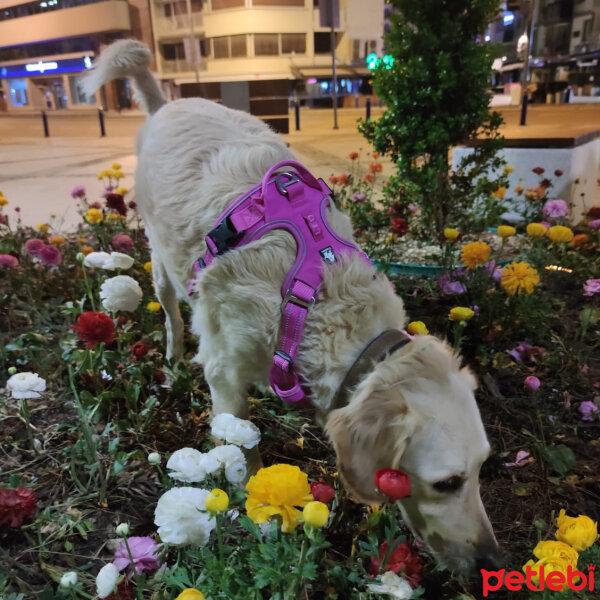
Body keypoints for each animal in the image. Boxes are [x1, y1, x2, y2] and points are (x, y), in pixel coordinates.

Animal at [83, 39, 496, 576]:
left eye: (485, 466)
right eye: (447, 483)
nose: (492, 559)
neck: (315, 296)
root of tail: (167, 104)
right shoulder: (223, 373)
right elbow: (241, 450)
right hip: (159, 264)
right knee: (171, 313)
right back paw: (172, 357)